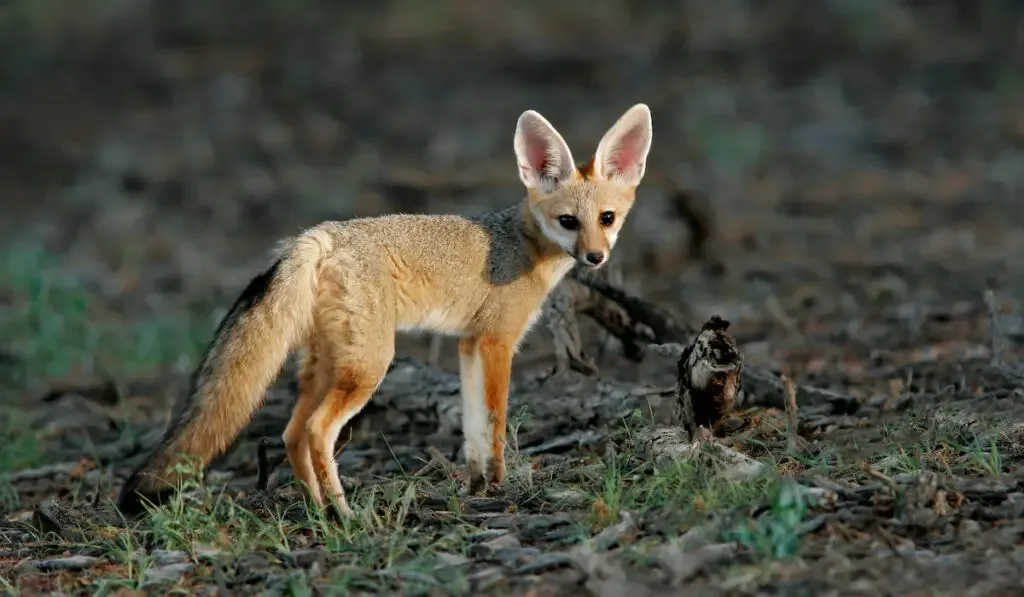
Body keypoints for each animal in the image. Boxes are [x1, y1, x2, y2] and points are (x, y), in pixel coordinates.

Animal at [116, 102, 651, 518]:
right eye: (568, 222)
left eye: (607, 219)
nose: (595, 257)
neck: (520, 243)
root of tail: (320, 234)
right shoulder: (497, 342)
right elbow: (496, 423)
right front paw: (501, 484)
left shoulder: (468, 344)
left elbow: (473, 427)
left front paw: (477, 484)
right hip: (370, 365)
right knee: (316, 431)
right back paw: (345, 513)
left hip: (329, 365)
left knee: (291, 433)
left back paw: (318, 511)